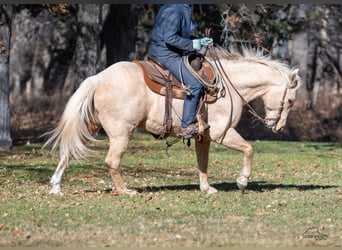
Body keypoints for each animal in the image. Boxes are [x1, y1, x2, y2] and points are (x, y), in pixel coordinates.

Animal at [44, 46, 300, 195]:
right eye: (290, 101)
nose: (277, 127)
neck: (228, 85)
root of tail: (99, 78)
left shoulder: (204, 136)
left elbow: (203, 162)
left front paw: (206, 189)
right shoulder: (222, 133)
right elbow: (249, 149)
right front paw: (242, 181)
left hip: (92, 125)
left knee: (68, 151)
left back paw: (56, 186)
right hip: (120, 134)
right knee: (111, 161)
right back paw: (125, 191)